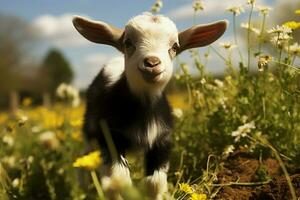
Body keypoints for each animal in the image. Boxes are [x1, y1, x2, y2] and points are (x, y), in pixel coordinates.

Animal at [73, 13, 227, 199]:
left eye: (174, 46)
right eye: (128, 42)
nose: (152, 63)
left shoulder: (162, 140)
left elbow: (154, 183)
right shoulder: (109, 137)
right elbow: (120, 180)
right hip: (90, 135)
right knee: (85, 164)